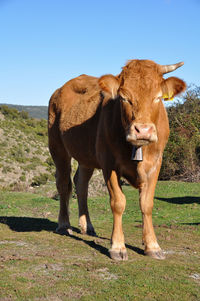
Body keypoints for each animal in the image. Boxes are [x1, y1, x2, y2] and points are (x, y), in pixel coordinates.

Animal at [48, 59, 186, 260]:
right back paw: (64, 224)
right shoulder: (109, 164)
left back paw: (87, 226)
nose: (143, 130)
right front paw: (118, 246)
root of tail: (60, 89)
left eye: (158, 97)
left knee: (81, 184)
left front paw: (152, 246)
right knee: (64, 184)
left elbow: (147, 204)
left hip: (86, 156)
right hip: (57, 147)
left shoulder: (156, 164)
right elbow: (118, 202)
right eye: (124, 98)